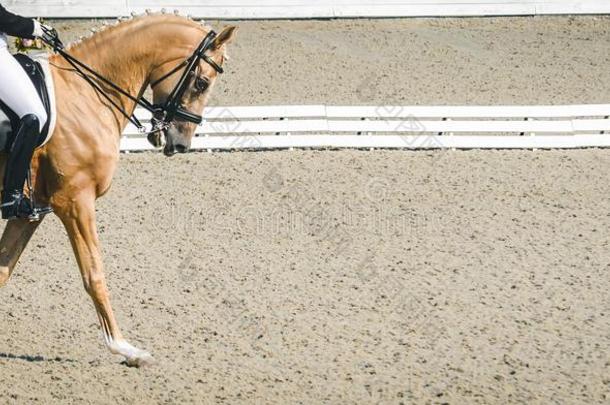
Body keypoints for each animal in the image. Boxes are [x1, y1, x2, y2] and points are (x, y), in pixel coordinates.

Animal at [0, 12, 235, 366]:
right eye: (202, 83)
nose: (181, 143)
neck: (85, 92)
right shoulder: (75, 201)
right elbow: (94, 273)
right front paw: (124, 348)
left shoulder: (31, 211)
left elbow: (3, 270)